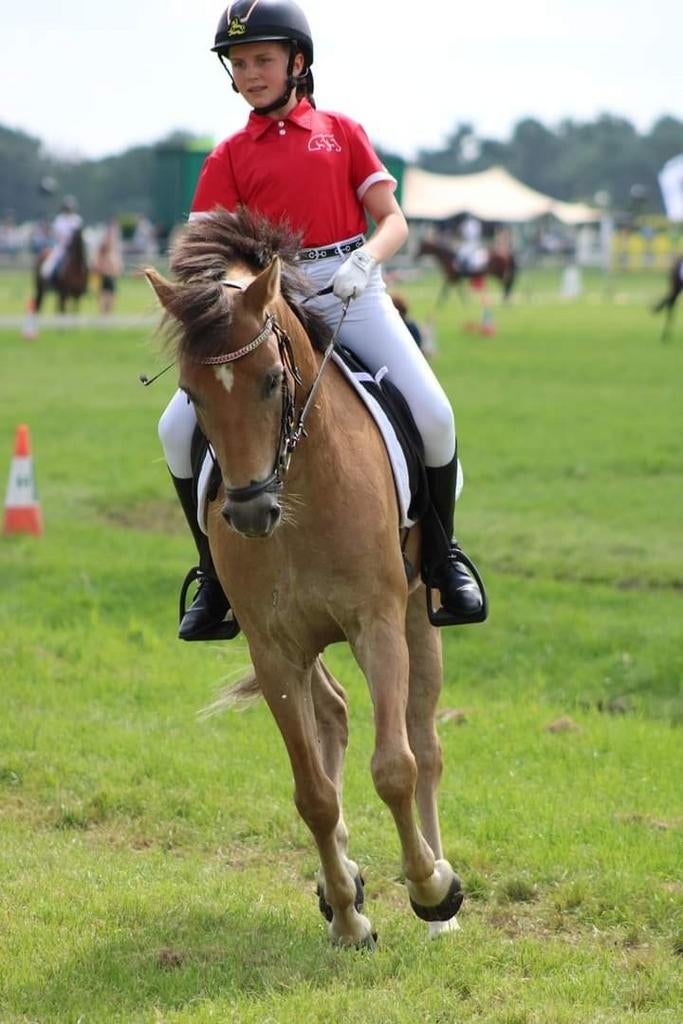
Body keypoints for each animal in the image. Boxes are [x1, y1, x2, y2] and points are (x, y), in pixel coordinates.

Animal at [145, 208, 465, 948]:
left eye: (270, 379)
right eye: (190, 394)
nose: (247, 511)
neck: (300, 491)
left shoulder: (377, 623)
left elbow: (396, 767)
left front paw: (430, 889)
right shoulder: (273, 648)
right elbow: (313, 792)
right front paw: (348, 915)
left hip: (417, 613)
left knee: (425, 742)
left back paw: (441, 902)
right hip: (306, 638)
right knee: (335, 717)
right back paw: (340, 879)